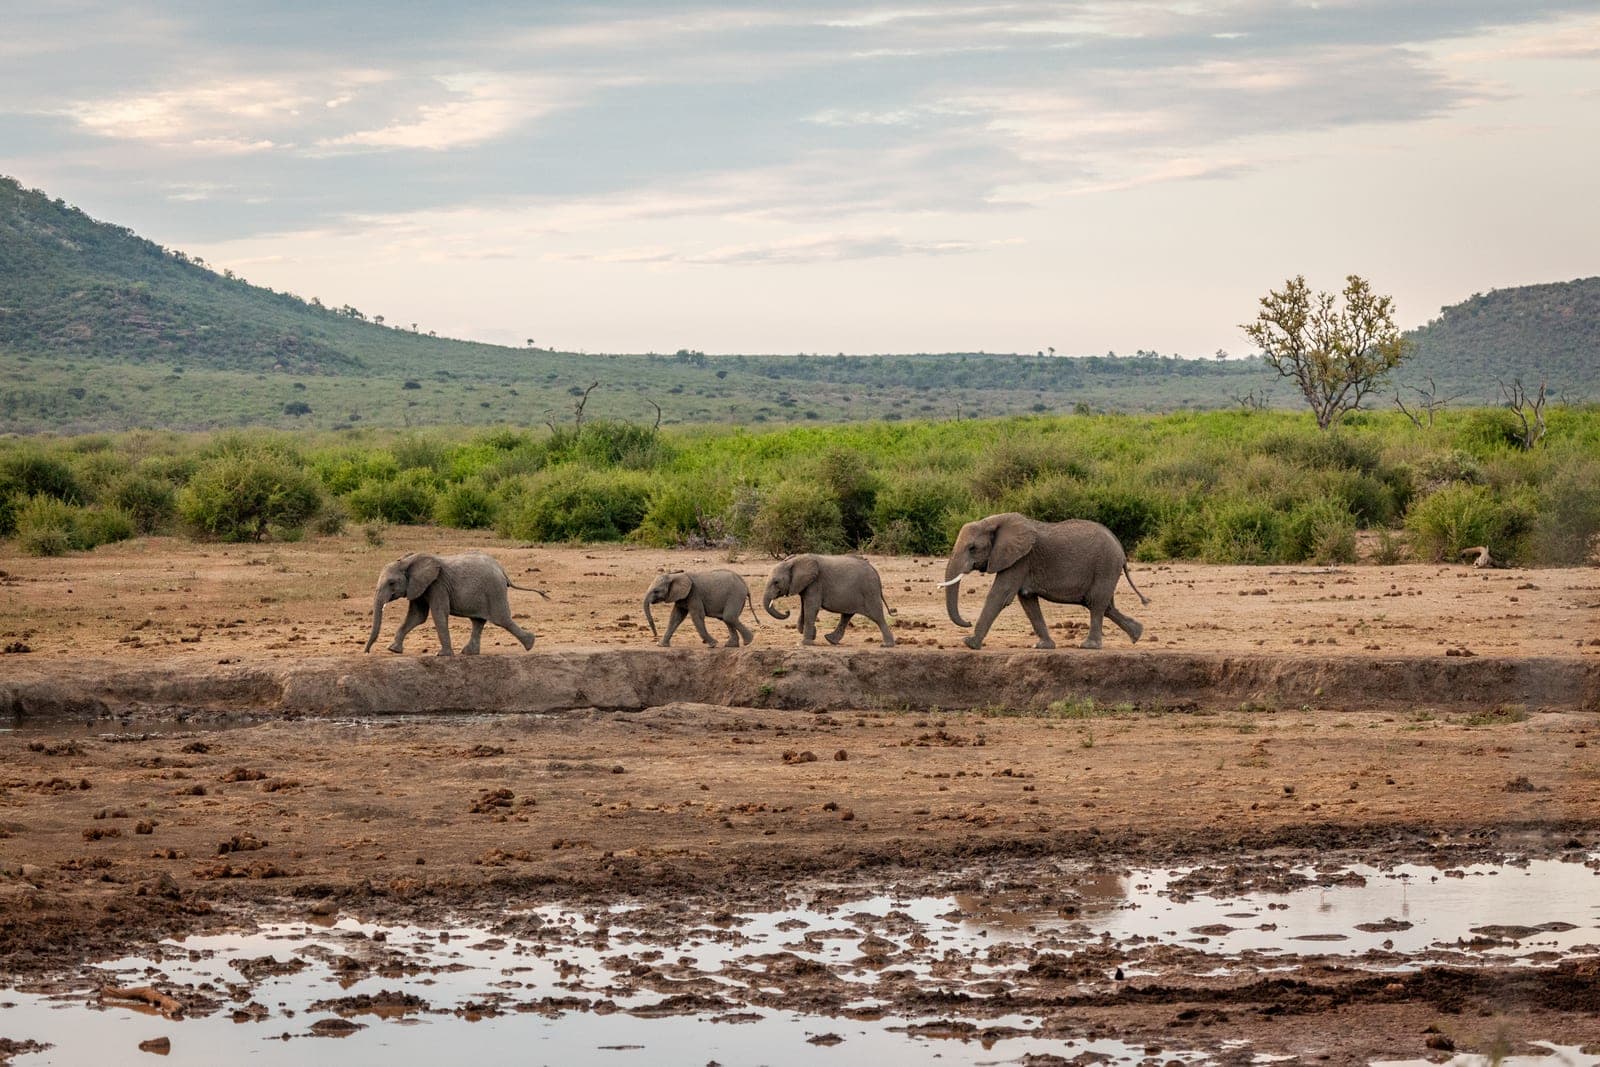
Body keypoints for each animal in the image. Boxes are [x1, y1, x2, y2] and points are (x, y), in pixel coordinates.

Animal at [364, 551, 548, 656]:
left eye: (391, 583)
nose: (366, 651)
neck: (407, 561)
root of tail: (502, 571)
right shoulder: (419, 586)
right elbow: (417, 616)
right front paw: (393, 650)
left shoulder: (437, 584)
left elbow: (438, 613)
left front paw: (442, 655)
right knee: (478, 621)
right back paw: (469, 653)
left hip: (494, 591)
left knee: (502, 619)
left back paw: (530, 644)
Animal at [763, 554, 895, 647]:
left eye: (776, 582)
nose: (787, 611)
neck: (794, 561)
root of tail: (875, 571)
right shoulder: (806, 585)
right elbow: (804, 608)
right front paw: (811, 634)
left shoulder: (815, 583)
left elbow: (811, 607)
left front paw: (806, 643)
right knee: (846, 616)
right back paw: (831, 640)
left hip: (869, 591)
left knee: (877, 617)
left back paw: (887, 645)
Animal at [939, 513, 1148, 650]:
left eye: (972, 548)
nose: (967, 622)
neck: (993, 521)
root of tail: (1121, 550)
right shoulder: (1022, 562)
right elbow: (1027, 600)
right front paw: (1043, 646)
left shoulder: (1020, 559)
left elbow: (1000, 594)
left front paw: (970, 643)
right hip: (1106, 570)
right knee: (1105, 606)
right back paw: (1137, 634)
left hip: (1105, 566)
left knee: (1096, 604)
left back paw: (1089, 646)